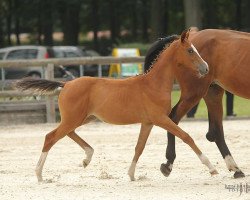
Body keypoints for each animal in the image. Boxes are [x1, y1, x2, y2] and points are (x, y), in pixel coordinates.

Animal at [14, 30, 217, 182]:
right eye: (190, 50)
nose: (206, 68)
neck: (153, 85)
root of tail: (66, 84)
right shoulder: (161, 119)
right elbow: (186, 136)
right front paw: (212, 168)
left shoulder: (148, 122)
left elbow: (139, 147)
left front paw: (132, 175)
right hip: (74, 118)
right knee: (50, 137)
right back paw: (39, 175)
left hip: (84, 118)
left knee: (67, 133)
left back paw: (87, 158)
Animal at [145, 28, 250, 178]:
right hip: (194, 92)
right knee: (173, 118)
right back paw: (168, 163)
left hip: (213, 91)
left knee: (215, 131)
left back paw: (235, 168)